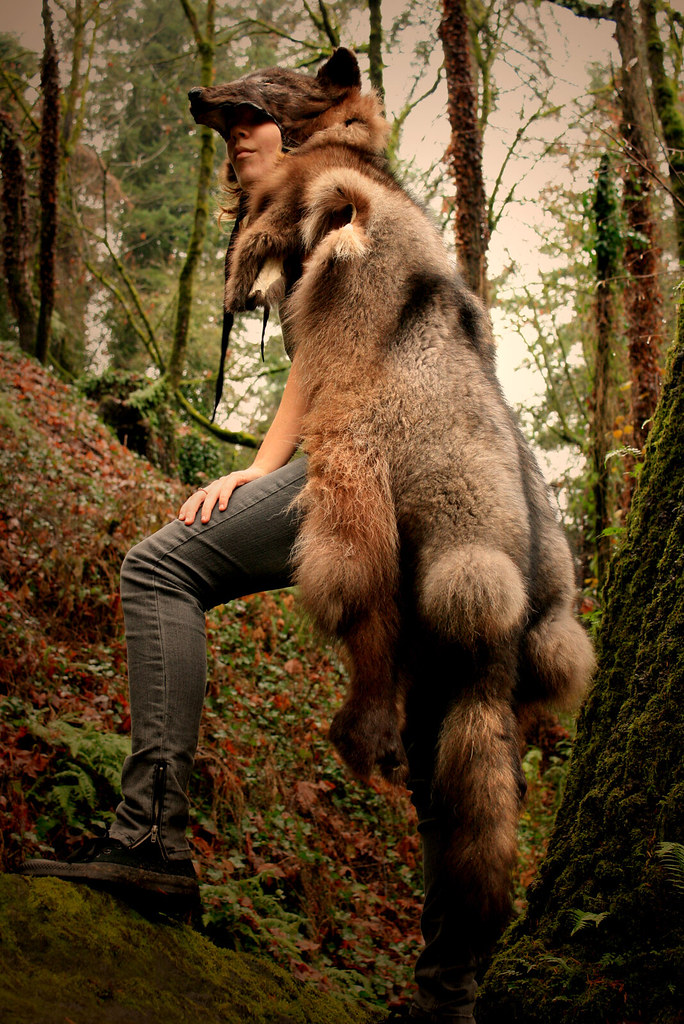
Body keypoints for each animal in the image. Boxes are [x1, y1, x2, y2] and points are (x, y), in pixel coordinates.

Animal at [193, 49, 595, 948]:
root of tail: (519, 593)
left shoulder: (311, 188)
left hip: (366, 502)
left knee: (364, 619)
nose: (199, 95)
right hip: (510, 632)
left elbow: (292, 216)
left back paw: (359, 733)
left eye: (264, 84)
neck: (351, 142)